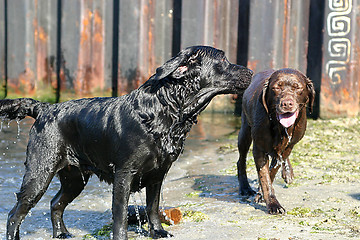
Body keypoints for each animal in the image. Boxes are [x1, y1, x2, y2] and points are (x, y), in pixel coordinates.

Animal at [2, 46, 252, 239]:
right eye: (223, 60)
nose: (251, 70)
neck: (164, 111)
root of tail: (44, 107)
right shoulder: (124, 174)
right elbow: (120, 215)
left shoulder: (158, 174)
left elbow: (153, 207)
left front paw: (157, 232)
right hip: (40, 172)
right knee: (15, 214)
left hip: (74, 178)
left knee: (55, 203)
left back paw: (62, 233)